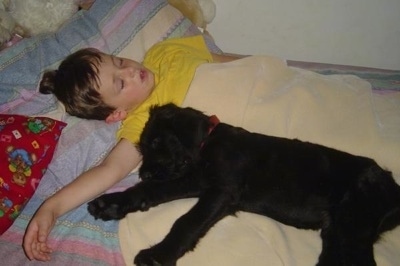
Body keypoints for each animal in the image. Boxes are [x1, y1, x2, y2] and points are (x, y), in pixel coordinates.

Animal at [88, 103, 400, 264]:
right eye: (142, 148)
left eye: (156, 143)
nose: (144, 173)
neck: (208, 143)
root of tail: (393, 189)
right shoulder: (193, 180)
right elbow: (152, 191)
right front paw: (111, 203)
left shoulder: (221, 190)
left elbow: (186, 222)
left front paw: (158, 255)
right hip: (336, 232)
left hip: (352, 227)